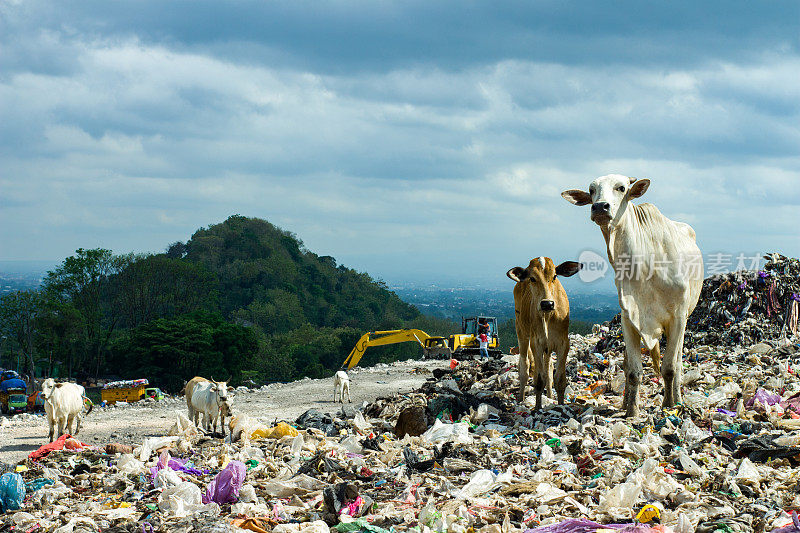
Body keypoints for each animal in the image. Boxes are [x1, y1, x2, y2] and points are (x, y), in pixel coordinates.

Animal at [506, 256, 580, 410]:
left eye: (555, 276)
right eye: (532, 278)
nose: (547, 304)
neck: (548, 315)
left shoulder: (563, 343)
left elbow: (559, 379)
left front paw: (560, 405)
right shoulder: (537, 343)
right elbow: (539, 380)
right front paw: (538, 407)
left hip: (548, 346)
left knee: (548, 369)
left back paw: (550, 396)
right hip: (521, 331)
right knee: (525, 366)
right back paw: (521, 399)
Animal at [560, 175, 704, 416]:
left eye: (621, 188)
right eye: (591, 190)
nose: (600, 207)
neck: (645, 267)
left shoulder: (678, 318)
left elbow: (669, 368)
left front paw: (668, 405)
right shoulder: (629, 318)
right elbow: (634, 371)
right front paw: (632, 412)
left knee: (677, 362)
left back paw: (677, 399)